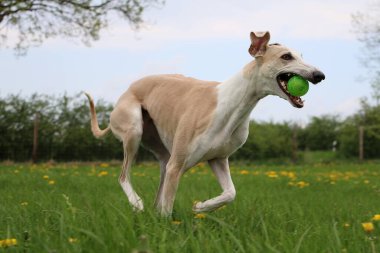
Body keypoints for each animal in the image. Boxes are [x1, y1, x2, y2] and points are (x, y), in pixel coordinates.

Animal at [84, 30, 326, 215]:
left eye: (301, 55)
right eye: (286, 57)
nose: (320, 75)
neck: (233, 102)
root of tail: (126, 91)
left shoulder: (218, 159)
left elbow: (230, 193)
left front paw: (201, 206)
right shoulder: (177, 165)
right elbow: (167, 210)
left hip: (162, 154)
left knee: (157, 192)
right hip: (134, 130)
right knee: (123, 176)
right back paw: (136, 203)